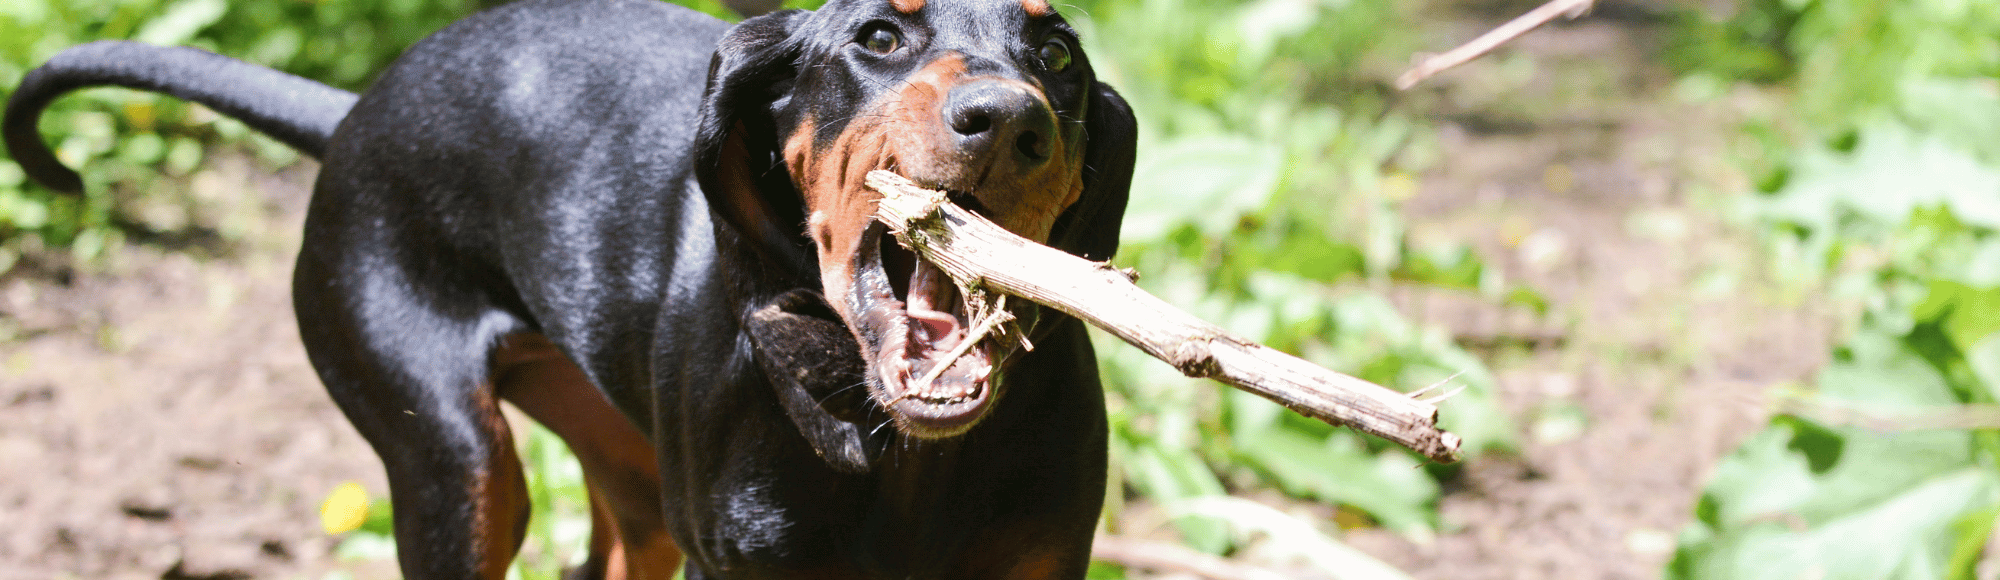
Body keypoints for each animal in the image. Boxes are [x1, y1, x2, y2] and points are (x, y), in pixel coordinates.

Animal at [0, 0, 1136, 576]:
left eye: (1055, 52)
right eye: (880, 38)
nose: (1009, 118)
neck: (905, 453)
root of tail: (353, 109)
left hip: (623, 468)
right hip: (454, 463)